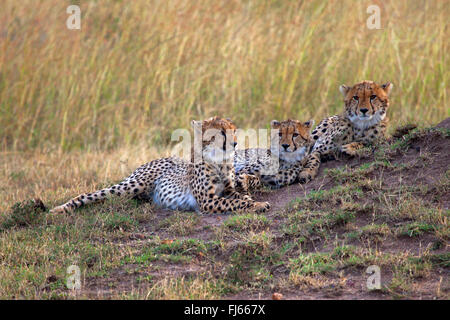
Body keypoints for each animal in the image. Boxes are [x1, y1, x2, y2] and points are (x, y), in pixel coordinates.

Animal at [51, 116, 270, 214]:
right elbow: (236, 203)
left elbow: (239, 196)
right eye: (221, 133)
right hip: (132, 185)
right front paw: (257, 204)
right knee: (90, 195)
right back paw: (60, 209)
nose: (235, 143)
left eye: (234, 131)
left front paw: (253, 199)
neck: (220, 161)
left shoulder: (228, 190)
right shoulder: (207, 201)